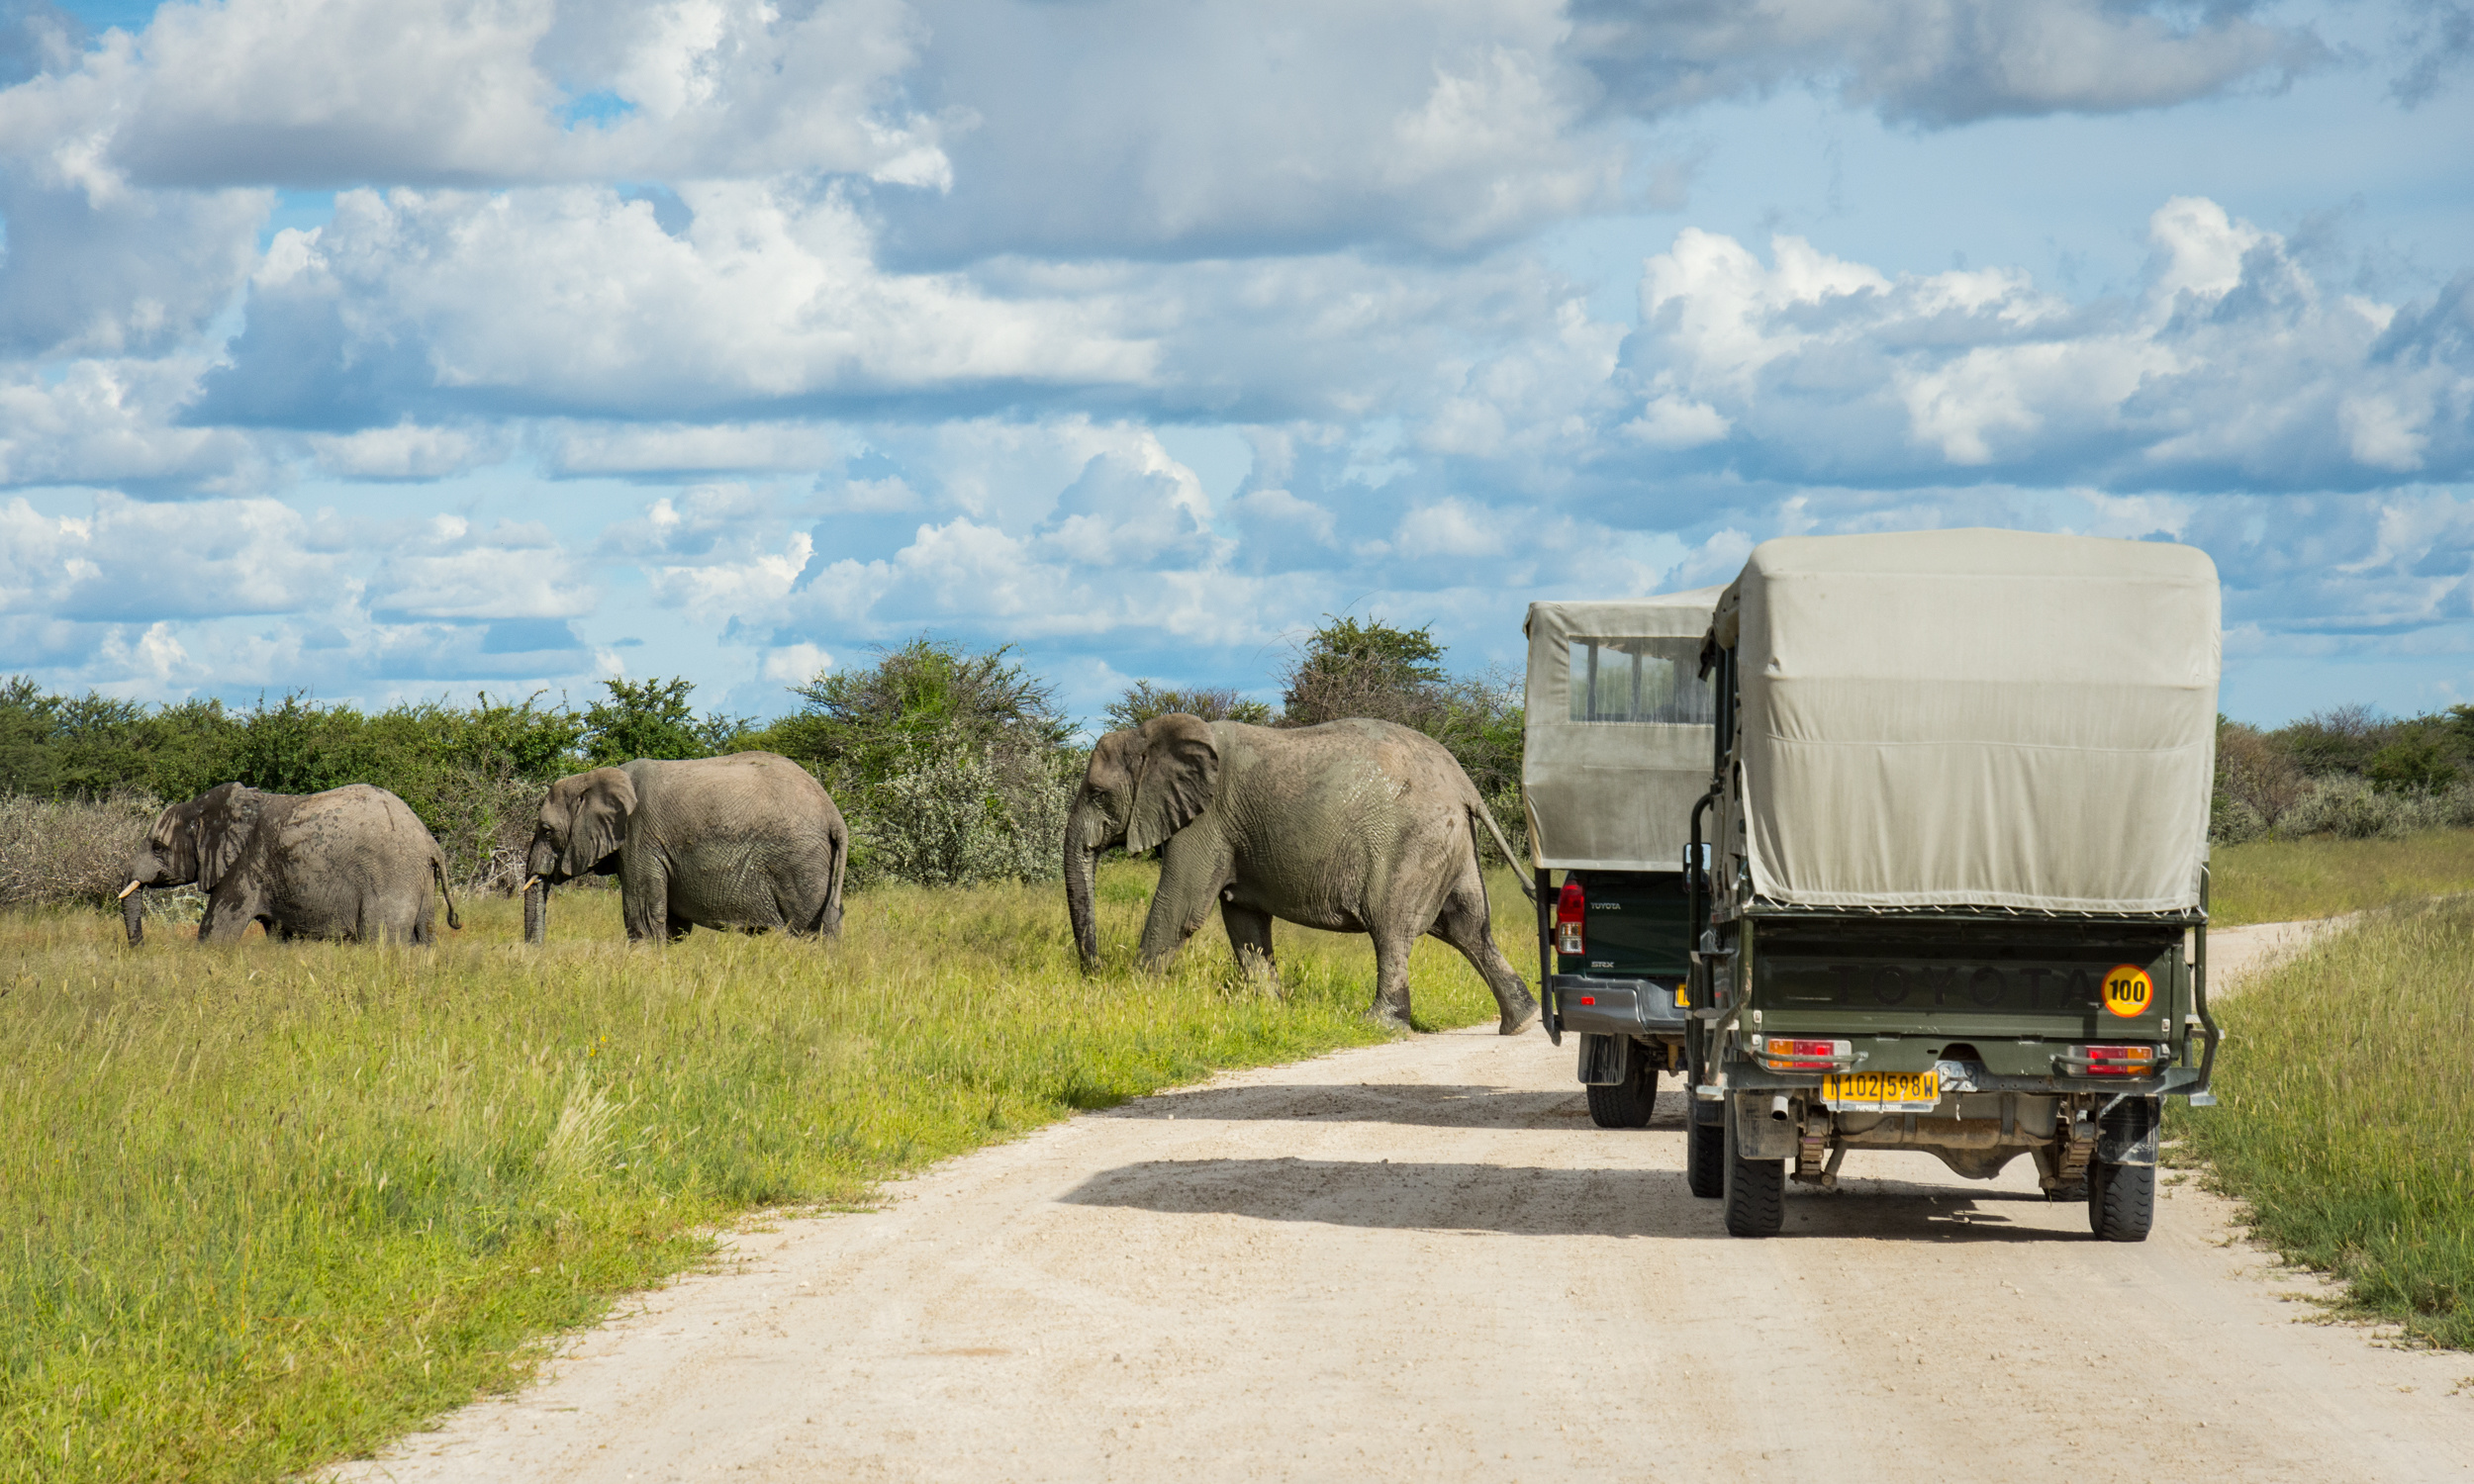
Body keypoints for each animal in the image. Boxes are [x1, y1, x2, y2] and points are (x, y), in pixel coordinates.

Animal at [120, 782, 462, 945]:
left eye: (157, 847)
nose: (141, 946)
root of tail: (429, 840)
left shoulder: (245, 865)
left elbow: (217, 932)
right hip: (418, 879)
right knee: (423, 938)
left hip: (391, 877)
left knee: (383, 940)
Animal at [517, 747, 846, 945]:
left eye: (546, 831)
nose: (538, 954)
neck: (594, 776)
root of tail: (833, 813)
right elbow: (672, 928)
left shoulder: (640, 838)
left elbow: (644, 920)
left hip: (799, 860)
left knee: (807, 926)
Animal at [1069, 717, 1544, 1034]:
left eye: (1097, 794)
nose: (1095, 972)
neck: (1151, 734)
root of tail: (1465, 784)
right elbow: (1244, 922)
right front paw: (1270, 1010)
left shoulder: (1205, 822)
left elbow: (1179, 910)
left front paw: (1131, 997)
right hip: (1453, 845)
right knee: (1468, 929)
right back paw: (1522, 1022)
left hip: (1412, 844)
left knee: (1392, 929)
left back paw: (1377, 1025)